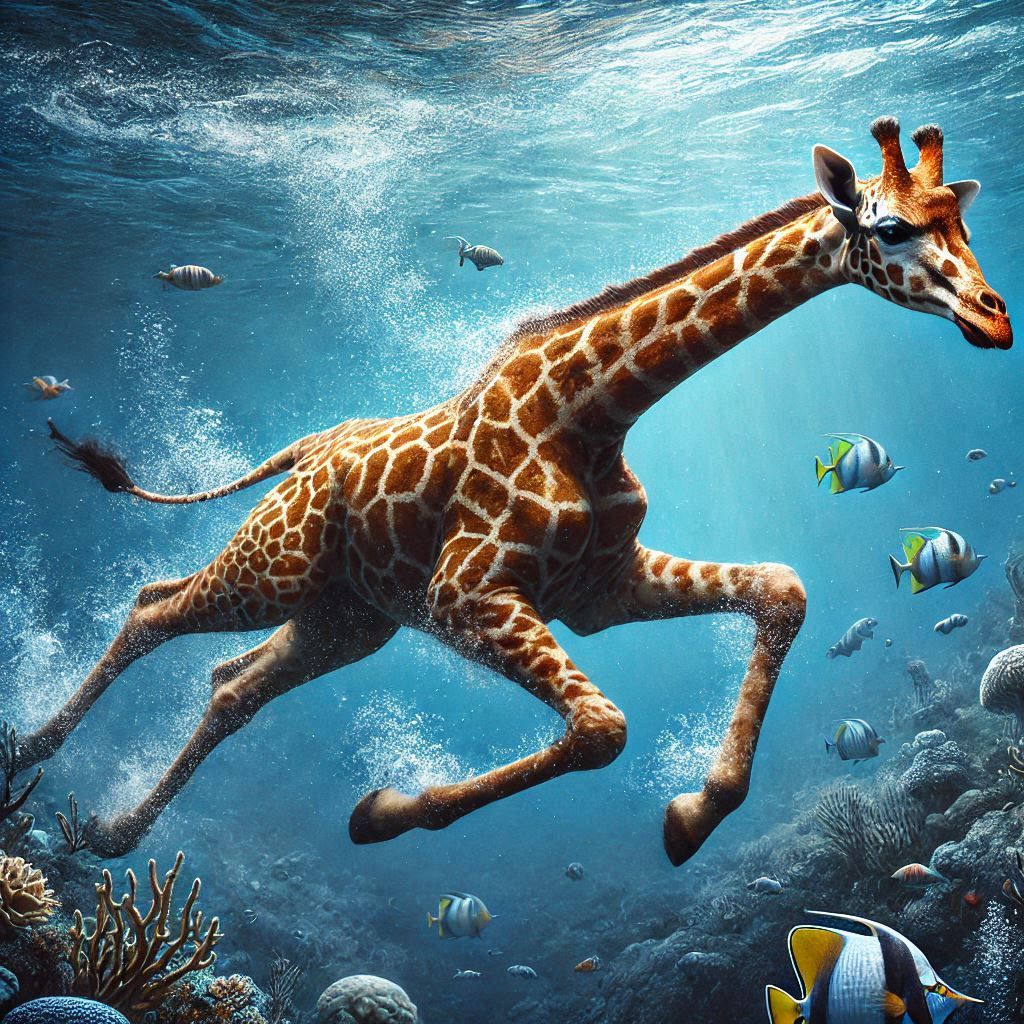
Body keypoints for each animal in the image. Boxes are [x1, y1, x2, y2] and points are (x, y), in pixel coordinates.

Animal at [18, 117, 1010, 865]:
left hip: (346, 618)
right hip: (277, 568)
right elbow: (604, 729)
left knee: (232, 684)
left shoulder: (598, 590)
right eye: (889, 228)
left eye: (961, 225)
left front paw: (693, 813)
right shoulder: (467, 594)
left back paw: (111, 832)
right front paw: (382, 811)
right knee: (154, 606)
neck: (593, 410)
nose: (993, 319)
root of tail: (303, 448)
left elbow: (784, 588)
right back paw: (30, 752)